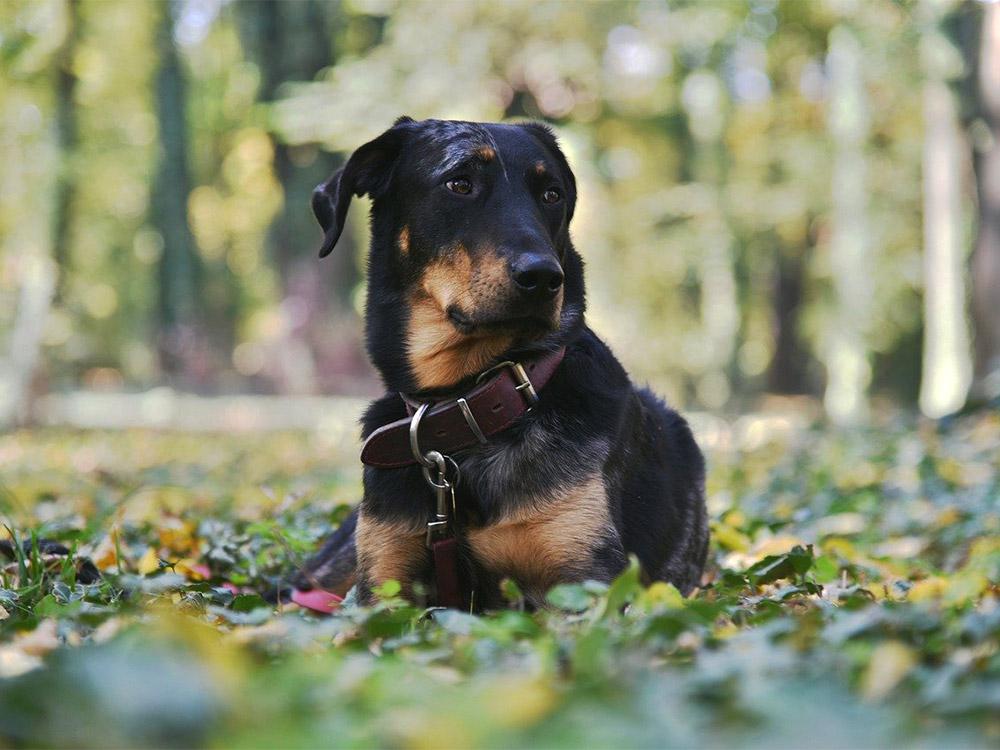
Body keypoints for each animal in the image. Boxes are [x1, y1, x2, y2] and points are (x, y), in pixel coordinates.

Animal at [292, 116, 708, 612]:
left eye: (552, 194)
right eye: (459, 183)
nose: (544, 277)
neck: (464, 406)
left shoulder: (583, 576)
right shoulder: (383, 582)